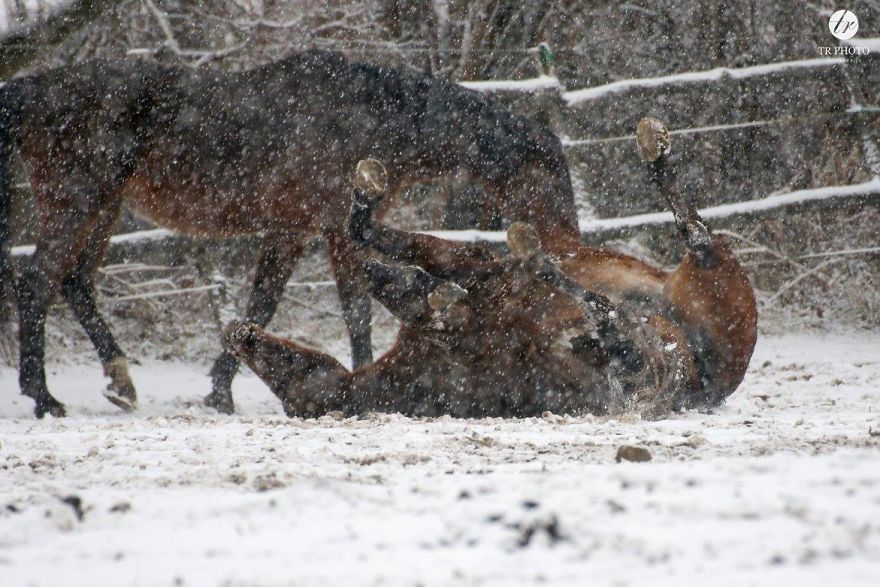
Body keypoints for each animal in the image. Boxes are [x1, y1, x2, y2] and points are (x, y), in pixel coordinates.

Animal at [0, 49, 580, 418]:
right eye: (551, 174)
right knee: (39, 282)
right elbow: (355, 310)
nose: (569, 244)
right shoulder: (335, 231)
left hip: (104, 208)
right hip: (77, 202)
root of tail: (30, 89)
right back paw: (44, 397)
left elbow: (262, 304)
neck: (369, 115)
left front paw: (219, 393)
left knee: (75, 282)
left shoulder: (293, 230)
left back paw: (119, 381)